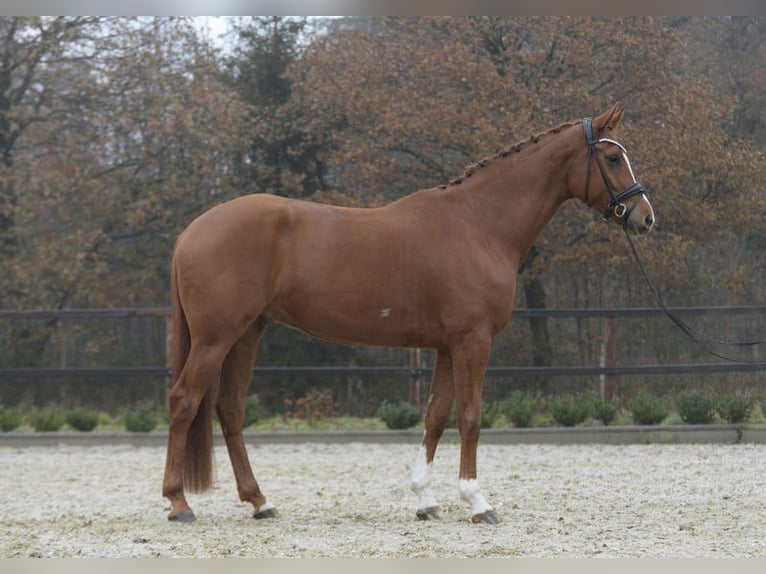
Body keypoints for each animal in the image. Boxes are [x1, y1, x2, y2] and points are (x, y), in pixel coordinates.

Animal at [160, 102, 656, 528]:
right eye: (613, 157)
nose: (645, 217)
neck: (480, 223)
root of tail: (191, 231)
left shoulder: (446, 347)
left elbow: (435, 417)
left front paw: (426, 499)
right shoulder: (472, 341)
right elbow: (470, 417)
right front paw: (477, 501)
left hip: (248, 333)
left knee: (230, 409)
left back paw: (260, 502)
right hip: (215, 338)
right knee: (184, 400)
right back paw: (179, 502)